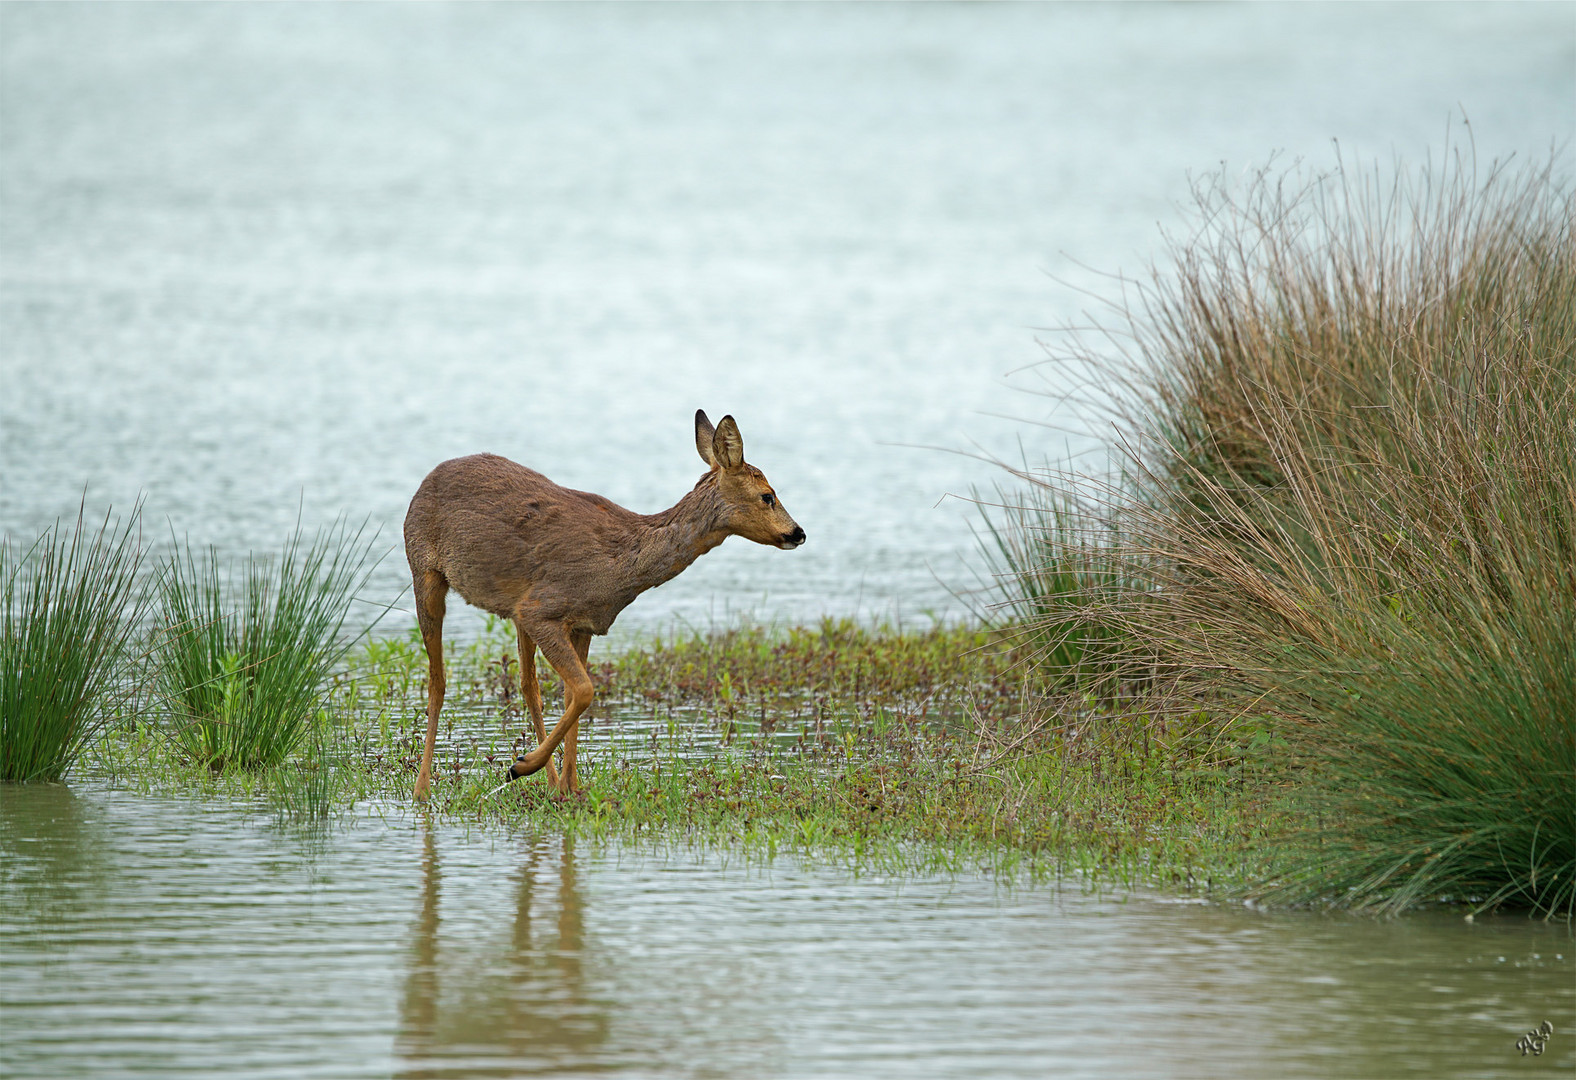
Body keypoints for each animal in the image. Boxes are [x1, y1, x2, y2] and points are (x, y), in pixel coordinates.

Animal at [400, 409, 806, 794]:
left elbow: (571, 695)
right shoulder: (541, 609)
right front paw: (522, 765)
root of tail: (424, 483)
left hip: (510, 613)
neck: (620, 567)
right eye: (767, 495)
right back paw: (423, 788)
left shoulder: (582, 623)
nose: (798, 532)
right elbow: (585, 690)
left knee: (528, 685)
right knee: (438, 680)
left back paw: (547, 782)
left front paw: (569, 786)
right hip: (425, 572)